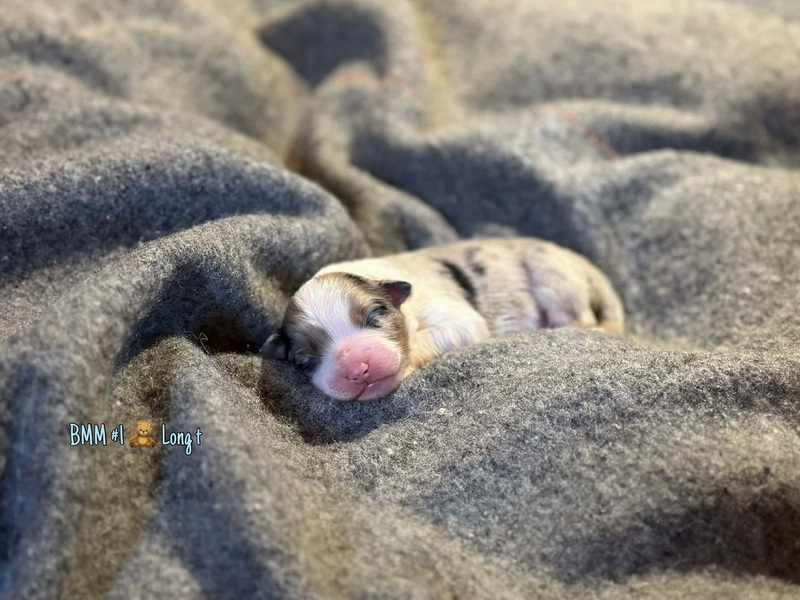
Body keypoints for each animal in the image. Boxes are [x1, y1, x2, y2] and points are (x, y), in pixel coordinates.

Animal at [262, 237, 624, 401]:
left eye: (375, 315)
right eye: (305, 359)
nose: (358, 368)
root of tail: (588, 267)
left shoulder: (453, 313)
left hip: (554, 279)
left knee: (582, 320)